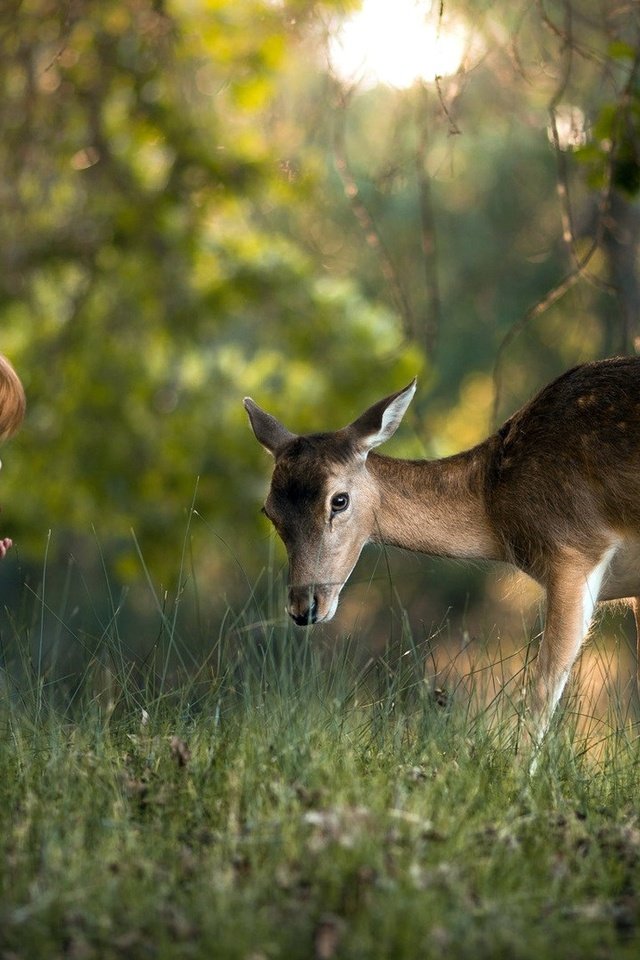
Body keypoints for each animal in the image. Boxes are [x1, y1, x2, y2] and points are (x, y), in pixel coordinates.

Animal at [245, 356, 640, 748]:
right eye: (269, 511)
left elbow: (541, 694)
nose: (305, 606)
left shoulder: (573, 550)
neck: (495, 500)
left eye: (338, 500)